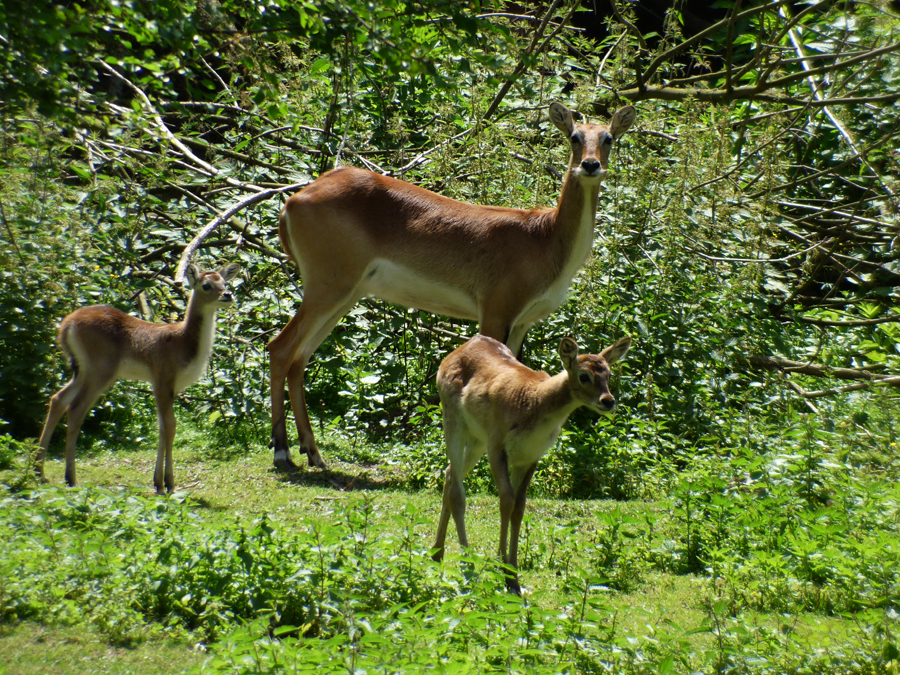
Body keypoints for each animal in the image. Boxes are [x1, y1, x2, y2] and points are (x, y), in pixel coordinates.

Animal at [35, 266, 241, 496]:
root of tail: (65, 326)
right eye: (206, 285)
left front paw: (158, 482)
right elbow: (171, 425)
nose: (228, 294)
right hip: (101, 369)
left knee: (58, 399)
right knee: (76, 408)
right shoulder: (163, 379)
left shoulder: (169, 387)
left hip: (81, 369)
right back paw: (70, 478)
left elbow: (161, 428)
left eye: (224, 281)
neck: (185, 344)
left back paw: (40, 473)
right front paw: (169, 484)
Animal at [268, 101, 640, 470]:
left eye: (608, 138)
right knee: (280, 348)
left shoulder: (522, 322)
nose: (590, 165)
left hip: (346, 294)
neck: (545, 238)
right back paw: (282, 452)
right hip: (328, 286)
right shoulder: (495, 312)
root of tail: (293, 201)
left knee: (300, 359)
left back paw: (313, 453)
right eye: (575, 136)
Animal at [430, 336, 628, 596]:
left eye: (609, 374)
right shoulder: (497, 444)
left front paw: (511, 573)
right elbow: (506, 501)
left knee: (450, 474)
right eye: (584, 375)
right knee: (456, 491)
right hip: (453, 416)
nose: (608, 401)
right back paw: (466, 561)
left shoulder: (531, 455)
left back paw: (437, 552)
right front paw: (505, 570)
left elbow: (520, 507)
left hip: (476, 439)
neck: (534, 406)